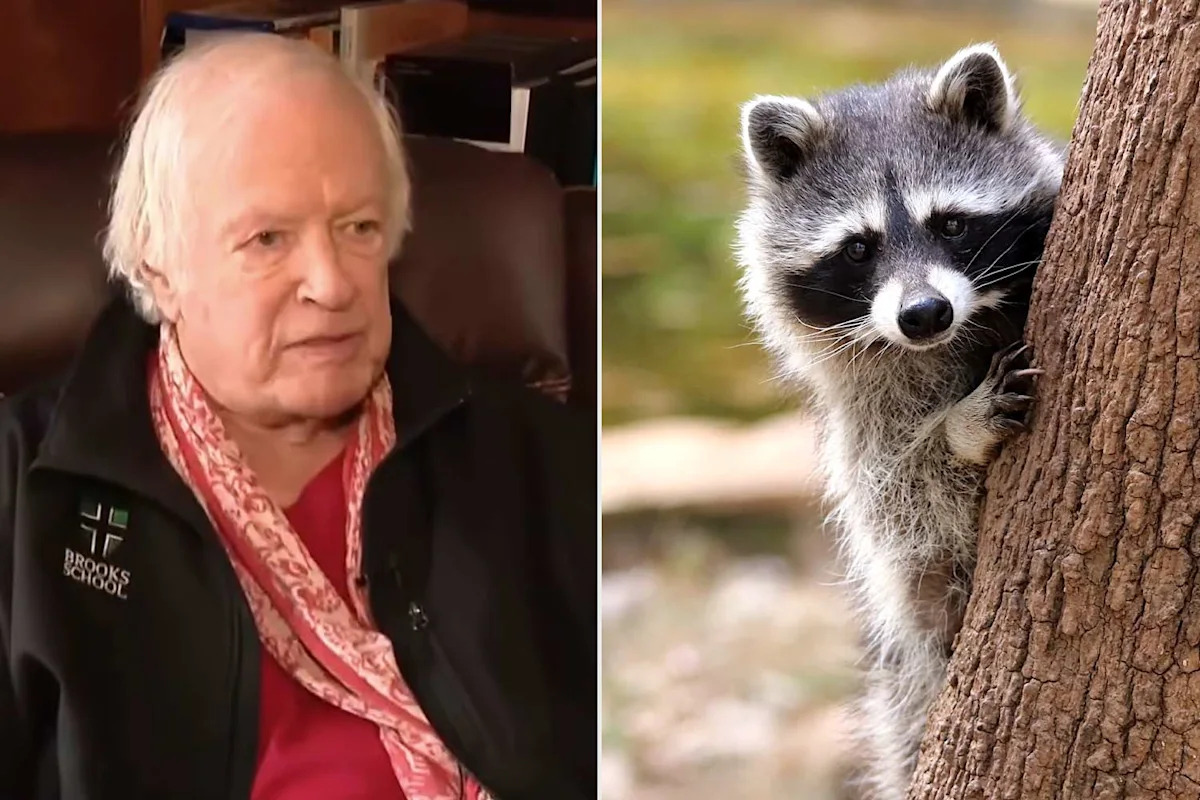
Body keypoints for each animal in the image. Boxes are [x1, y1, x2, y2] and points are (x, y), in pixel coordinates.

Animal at [734, 44, 1064, 799]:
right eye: (859, 247)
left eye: (951, 224)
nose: (923, 313)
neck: (956, 338)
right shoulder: (864, 426)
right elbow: (909, 505)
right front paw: (957, 431)